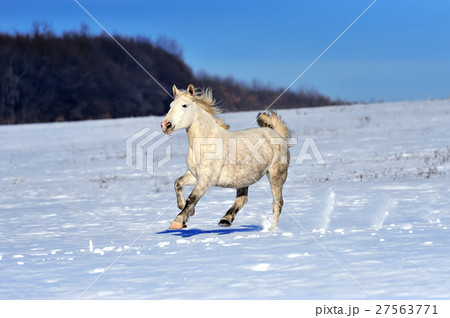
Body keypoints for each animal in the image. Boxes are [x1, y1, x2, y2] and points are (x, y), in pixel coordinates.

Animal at [160, 84, 290, 229]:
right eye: (171, 105)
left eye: (184, 105)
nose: (165, 125)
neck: (205, 143)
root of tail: (277, 135)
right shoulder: (194, 175)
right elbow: (178, 183)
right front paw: (187, 212)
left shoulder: (207, 179)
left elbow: (192, 197)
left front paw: (177, 222)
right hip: (244, 177)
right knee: (243, 198)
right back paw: (225, 220)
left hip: (275, 175)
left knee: (277, 203)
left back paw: (272, 229)